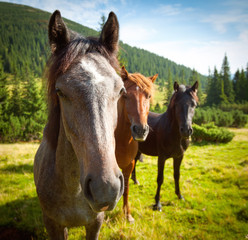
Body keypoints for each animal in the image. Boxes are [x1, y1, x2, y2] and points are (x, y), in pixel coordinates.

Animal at [116, 65, 158, 221]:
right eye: (125, 95)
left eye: (149, 96)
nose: (140, 130)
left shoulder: (129, 165)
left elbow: (126, 189)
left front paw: (127, 215)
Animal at [132, 81, 198, 211]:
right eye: (176, 104)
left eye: (194, 104)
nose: (186, 130)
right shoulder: (161, 157)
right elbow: (160, 178)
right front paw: (157, 203)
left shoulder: (179, 156)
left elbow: (177, 175)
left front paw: (180, 195)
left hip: (138, 150)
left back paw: (135, 180)